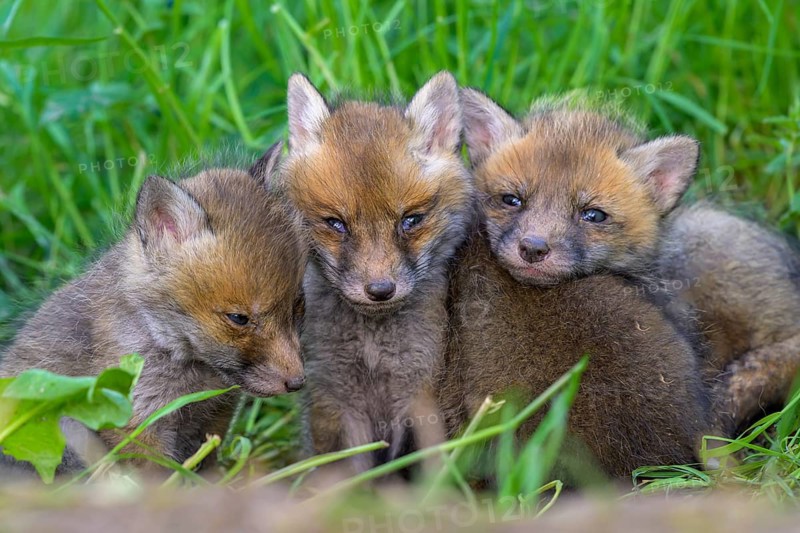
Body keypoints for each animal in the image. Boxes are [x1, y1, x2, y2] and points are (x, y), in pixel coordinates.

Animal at [281, 72, 473, 472]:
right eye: (336, 224)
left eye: (411, 220)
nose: (380, 290)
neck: (372, 351)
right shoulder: (335, 401)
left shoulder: (422, 396)